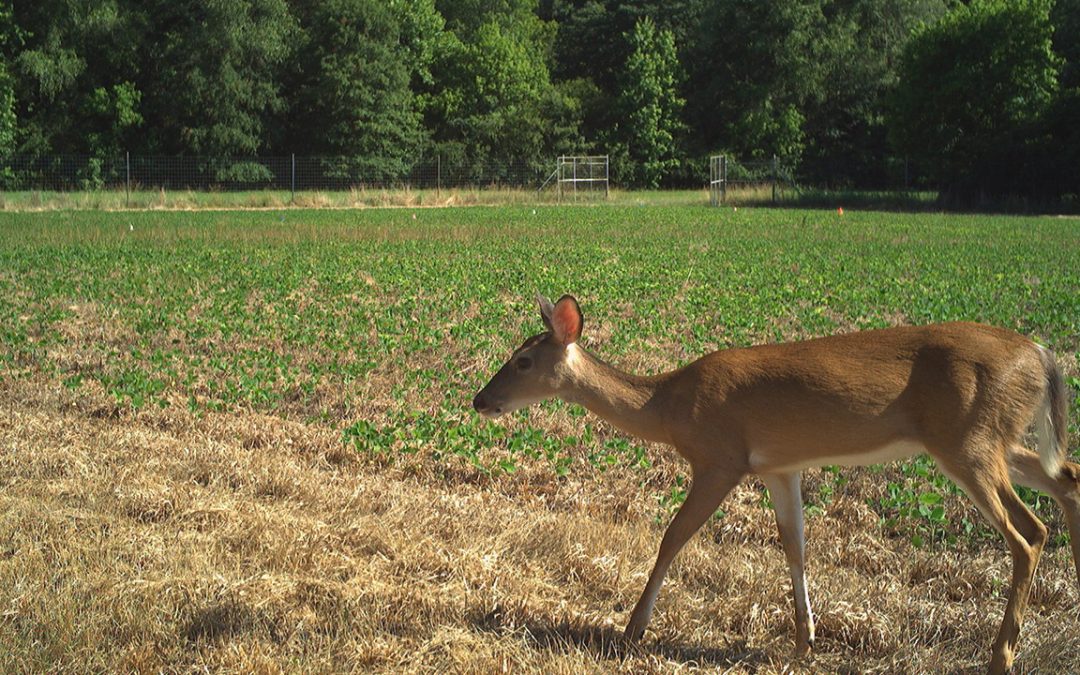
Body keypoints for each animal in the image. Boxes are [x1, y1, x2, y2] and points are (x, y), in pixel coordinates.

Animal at [473, 293, 1080, 673]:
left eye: (523, 361)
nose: (480, 400)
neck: (667, 406)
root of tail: (1042, 355)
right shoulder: (778, 467)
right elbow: (796, 546)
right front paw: (804, 641)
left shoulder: (721, 459)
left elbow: (673, 537)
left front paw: (632, 630)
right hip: (996, 439)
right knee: (1067, 477)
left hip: (967, 442)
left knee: (1029, 532)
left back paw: (1001, 656)